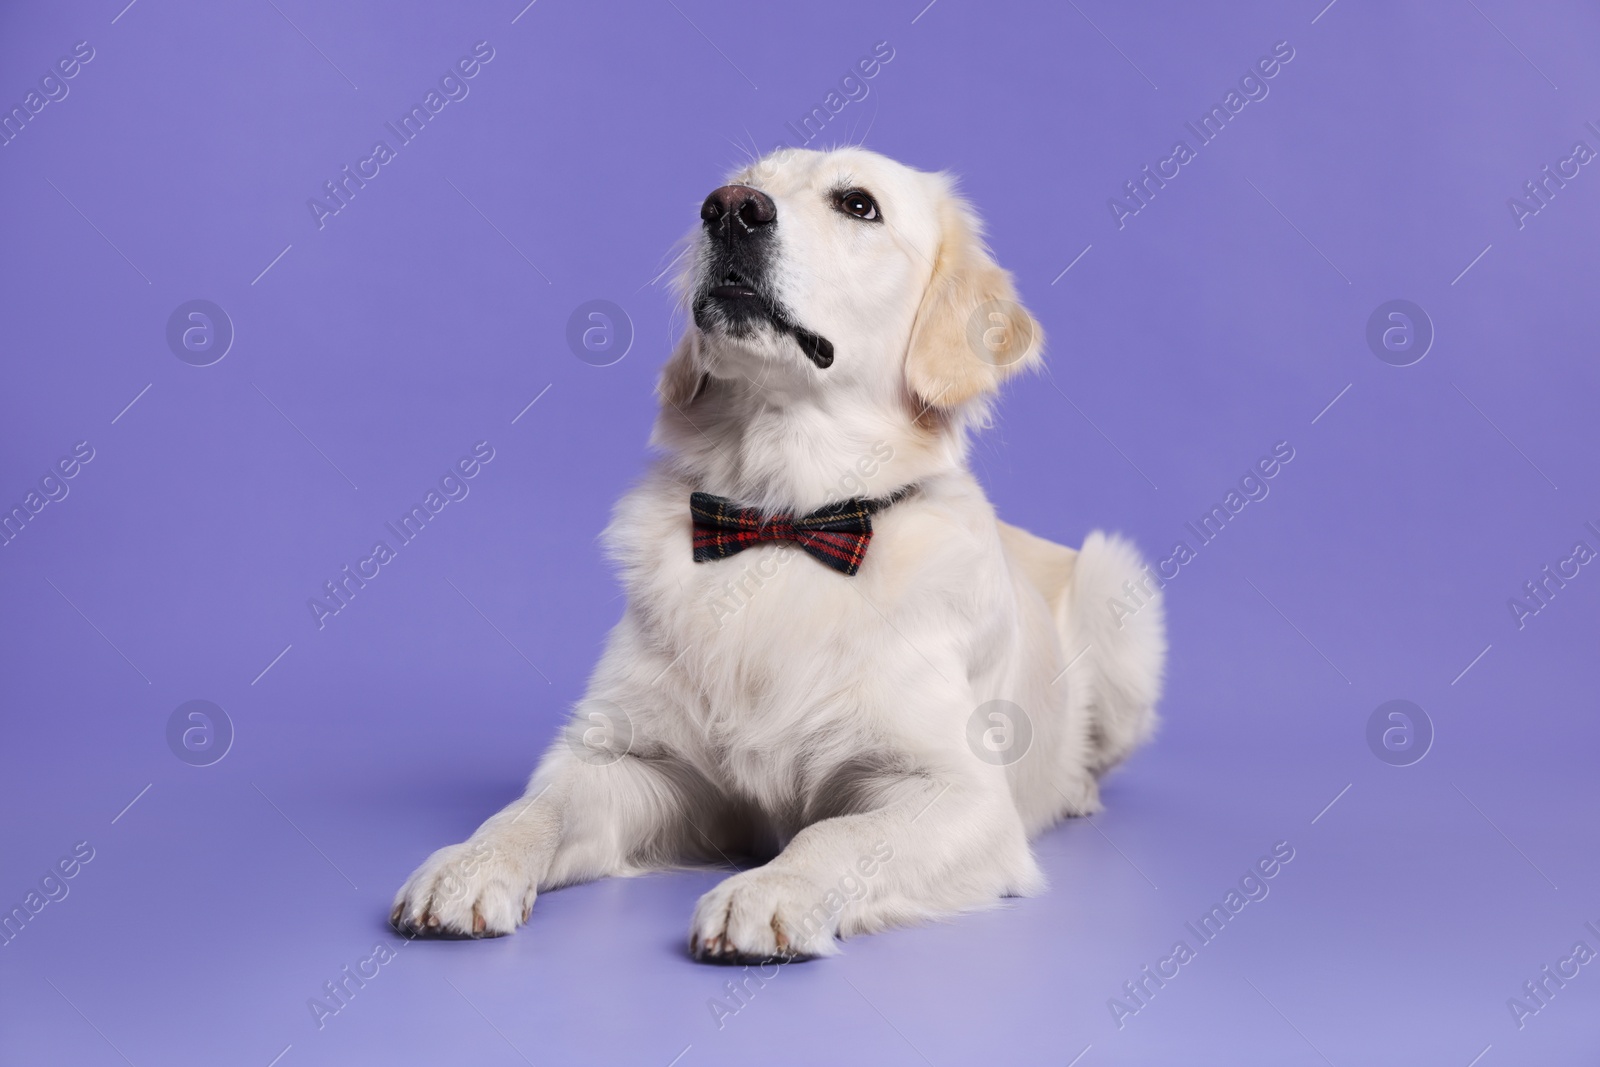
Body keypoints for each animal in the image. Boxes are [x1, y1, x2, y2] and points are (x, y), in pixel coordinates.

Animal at [387, 147, 1164, 959]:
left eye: (859, 204)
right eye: (742, 182)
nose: (730, 207)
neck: (784, 515)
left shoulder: (955, 793)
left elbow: (840, 834)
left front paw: (769, 889)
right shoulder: (636, 761)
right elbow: (537, 806)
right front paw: (470, 864)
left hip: (1118, 585)